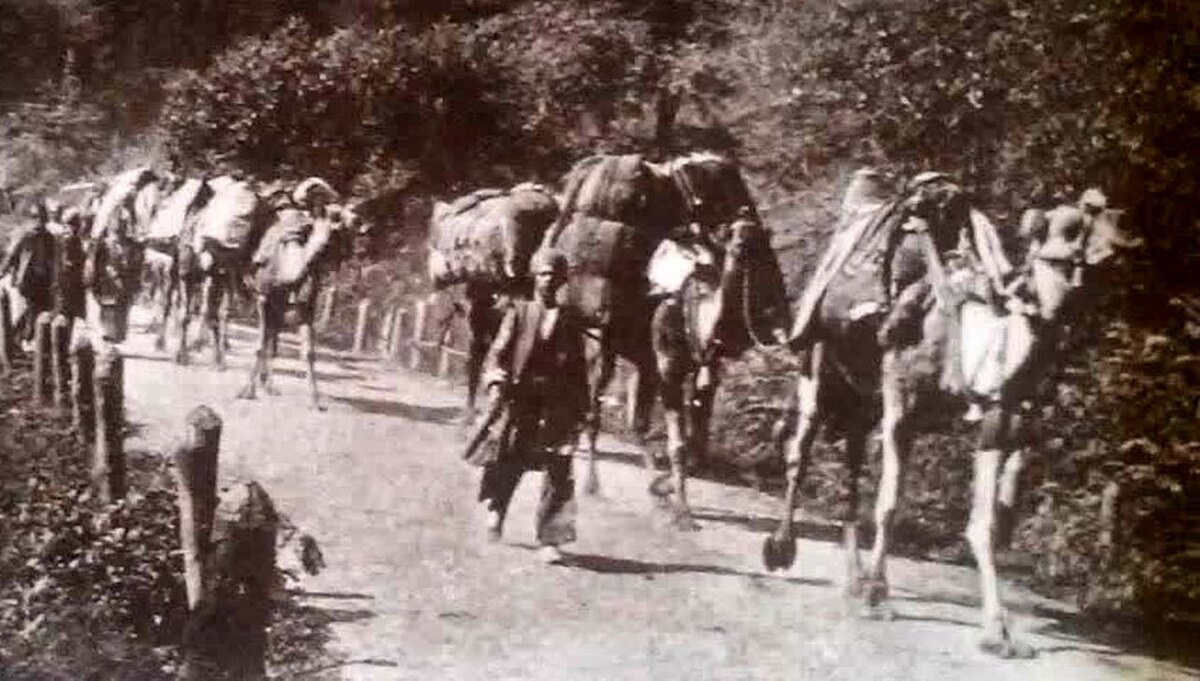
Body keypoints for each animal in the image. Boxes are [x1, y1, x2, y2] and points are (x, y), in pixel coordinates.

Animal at [763, 171, 1128, 661]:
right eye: (1064, 228)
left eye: (1105, 219)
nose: (1119, 240)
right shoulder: (902, 401)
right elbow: (890, 502)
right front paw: (880, 597)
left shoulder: (1000, 416)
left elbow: (988, 523)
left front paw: (999, 632)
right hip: (818, 362)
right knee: (799, 451)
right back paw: (783, 549)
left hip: (862, 398)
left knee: (851, 467)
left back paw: (853, 579)